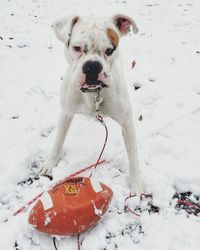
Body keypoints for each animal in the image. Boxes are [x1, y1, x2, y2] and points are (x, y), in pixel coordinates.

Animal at [40, 13, 144, 194]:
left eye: (109, 50)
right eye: (76, 48)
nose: (92, 66)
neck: (93, 93)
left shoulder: (126, 123)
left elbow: (133, 156)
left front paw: (136, 186)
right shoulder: (66, 112)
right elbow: (59, 140)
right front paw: (50, 163)